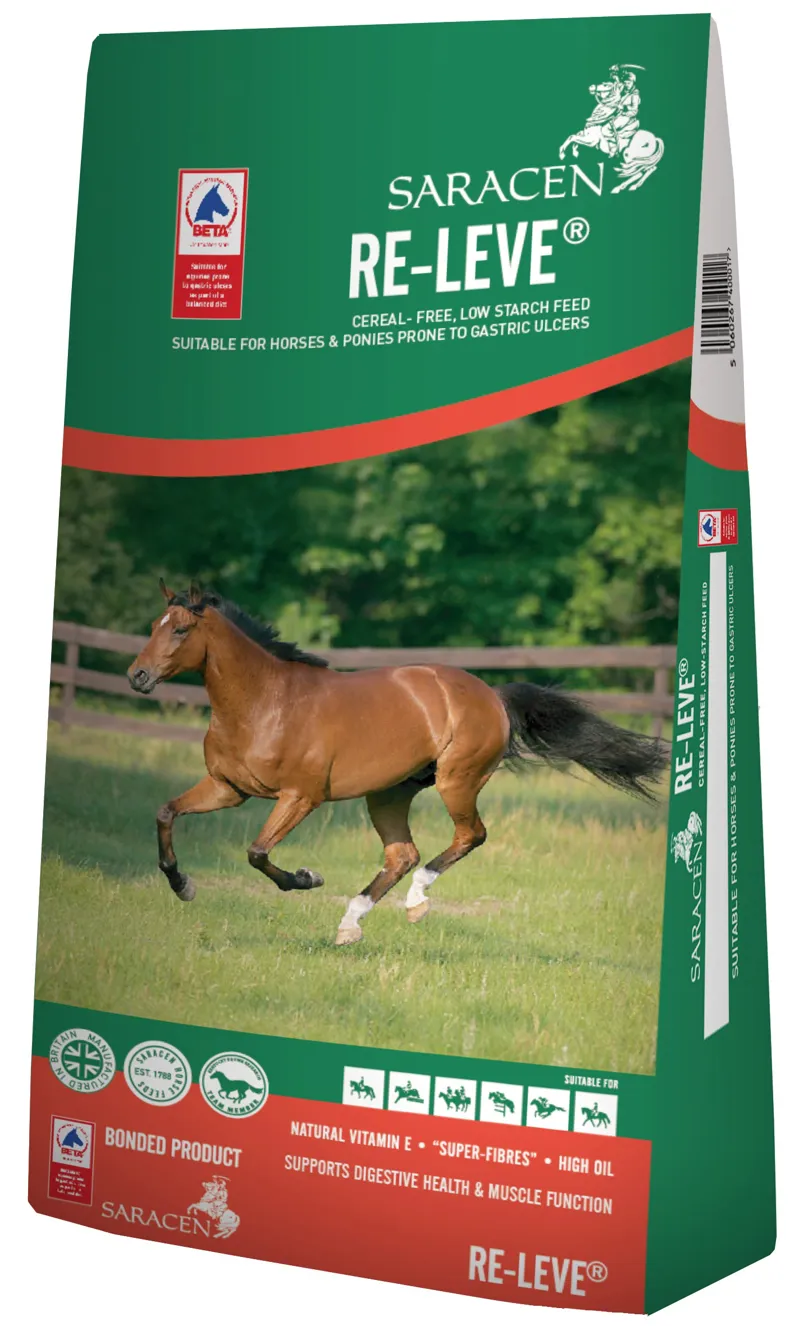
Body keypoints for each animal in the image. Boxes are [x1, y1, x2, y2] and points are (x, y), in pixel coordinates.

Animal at [127, 582, 665, 947]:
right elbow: (165, 812)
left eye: (180, 629)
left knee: (468, 836)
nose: (138, 676)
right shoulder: (227, 788)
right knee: (402, 854)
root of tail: (491, 694)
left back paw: (416, 902)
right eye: (152, 627)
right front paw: (182, 886)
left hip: (456, 781)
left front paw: (307, 878)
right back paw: (350, 924)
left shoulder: (300, 797)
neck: (265, 703)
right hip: (388, 792)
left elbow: (258, 853)